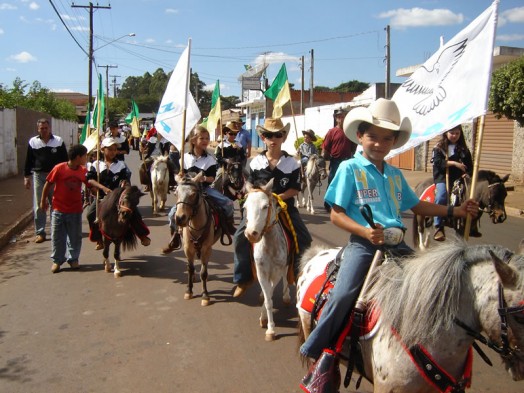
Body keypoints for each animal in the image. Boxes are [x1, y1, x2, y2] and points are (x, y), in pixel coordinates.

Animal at [173, 172, 220, 306]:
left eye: (193, 194)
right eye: (176, 193)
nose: (180, 218)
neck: (196, 226)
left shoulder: (206, 249)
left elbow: (203, 272)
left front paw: (205, 296)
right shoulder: (187, 248)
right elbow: (190, 268)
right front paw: (189, 291)